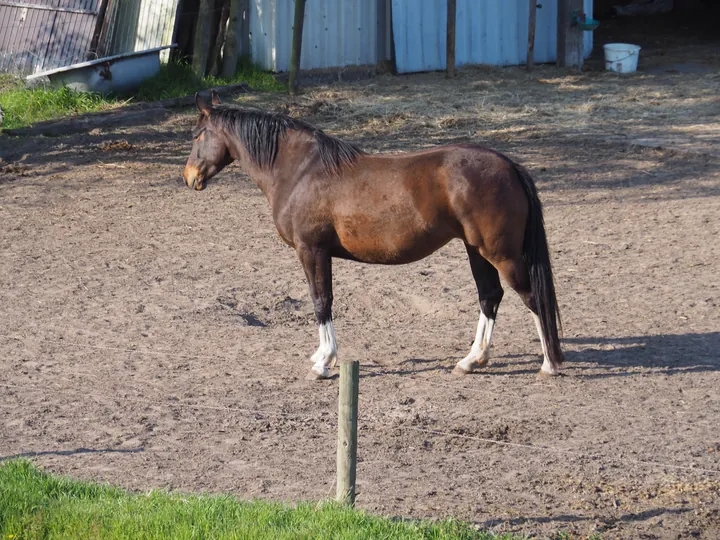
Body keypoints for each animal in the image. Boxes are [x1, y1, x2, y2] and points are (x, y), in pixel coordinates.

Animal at [184, 92, 564, 380]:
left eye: (197, 134)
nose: (189, 177)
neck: (300, 170)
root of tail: (509, 165)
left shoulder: (312, 251)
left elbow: (321, 301)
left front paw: (324, 363)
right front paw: (320, 355)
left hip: (501, 254)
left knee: (531, 297)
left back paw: (549, 364)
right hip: (477, 251)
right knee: (490, 297)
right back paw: (473, 360)